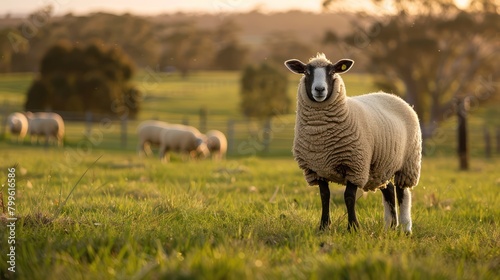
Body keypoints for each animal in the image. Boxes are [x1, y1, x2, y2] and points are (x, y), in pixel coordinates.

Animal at [286, 53, 422, 233]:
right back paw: (390, 226)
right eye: (307, 72)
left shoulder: (355, 165)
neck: (321, 135)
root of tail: (393, 96)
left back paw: (406, 228)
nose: (319, 89)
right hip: (380, 167)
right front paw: (323, 227)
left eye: (332, 72)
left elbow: (348, 197)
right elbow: (325, 196)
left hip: (408, 163)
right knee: (389, 191)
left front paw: (353, 227)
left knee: (402, 193)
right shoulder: (316, 168)